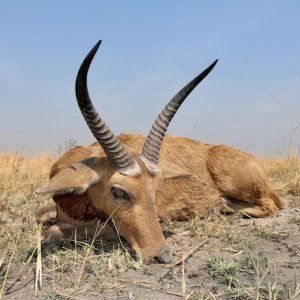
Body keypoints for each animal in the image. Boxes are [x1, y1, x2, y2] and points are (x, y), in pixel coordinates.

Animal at [36, 41, 284, 262]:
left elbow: (52, 231)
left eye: (156, 189)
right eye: (118, 191)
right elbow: (41, 217)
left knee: (272, 205)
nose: (162, 255)